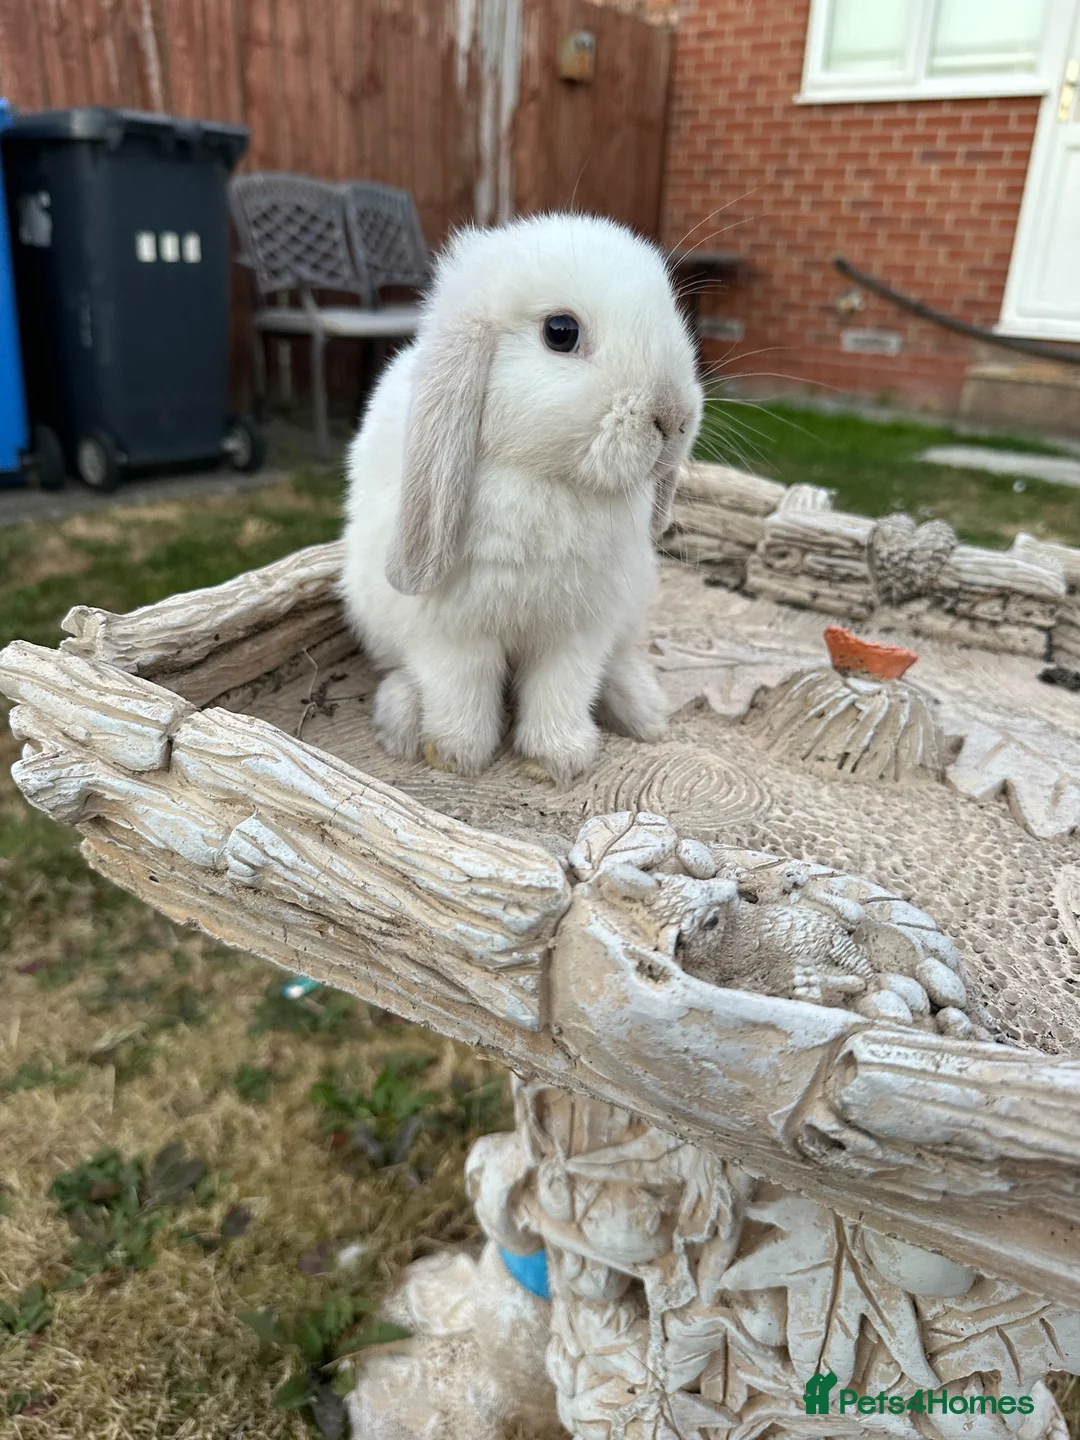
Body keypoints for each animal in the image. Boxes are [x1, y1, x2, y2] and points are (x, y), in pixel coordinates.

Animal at [340, 211, 703, 784]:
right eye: (561, 332)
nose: (674, 417)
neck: (549, 480)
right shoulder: (453, 634)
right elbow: (461, 691)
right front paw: (457, 755)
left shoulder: (577, 631)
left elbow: (562, 689)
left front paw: (556, 760)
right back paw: (403, 722)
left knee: (619, 660)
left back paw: (643, 711)